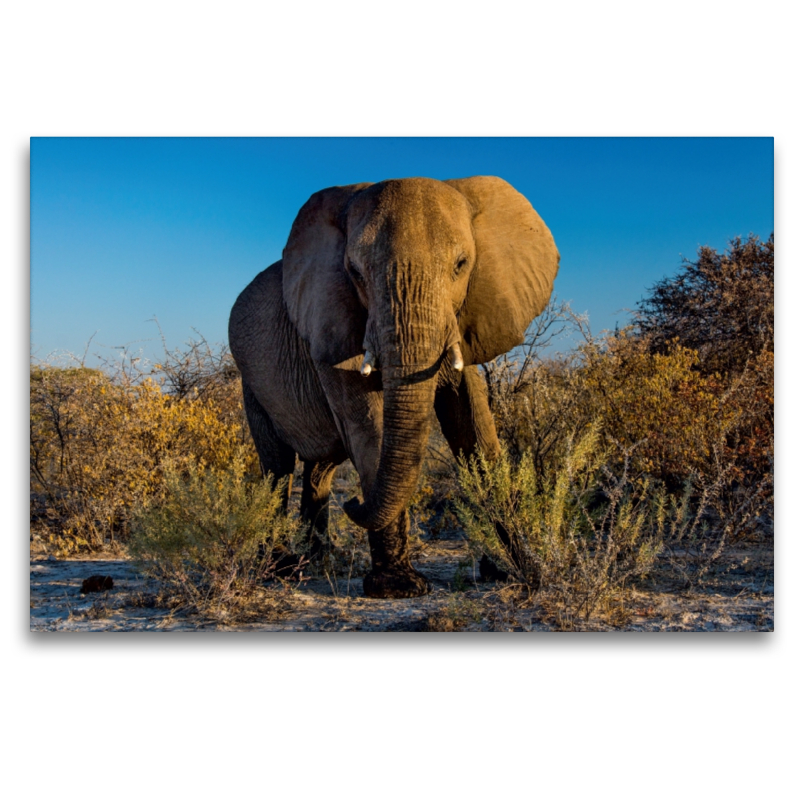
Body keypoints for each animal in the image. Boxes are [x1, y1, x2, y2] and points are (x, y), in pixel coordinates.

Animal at [228, 177, 560, 600]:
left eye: (461, 265)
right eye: (354, 271)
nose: (355, 503)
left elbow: (472, 424)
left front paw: (517, 570)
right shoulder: (331, 324)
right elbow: (369, 425)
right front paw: (398, 588)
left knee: (320, 467)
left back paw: (318, 562)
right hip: (251, 381)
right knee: (278, 466)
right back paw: (282, 568)